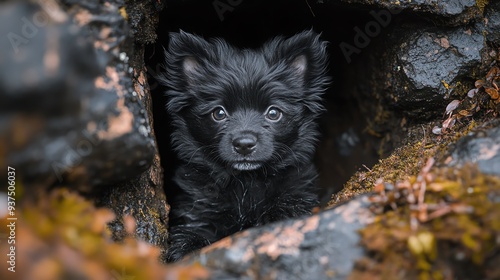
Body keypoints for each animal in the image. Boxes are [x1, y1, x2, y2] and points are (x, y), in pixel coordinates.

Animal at [160, 30, 330, 262]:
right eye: (219, 113)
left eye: (273, 113)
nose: (244, 144)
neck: (246, 182)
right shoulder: (197, 210)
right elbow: (190, 238)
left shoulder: (296, 196)